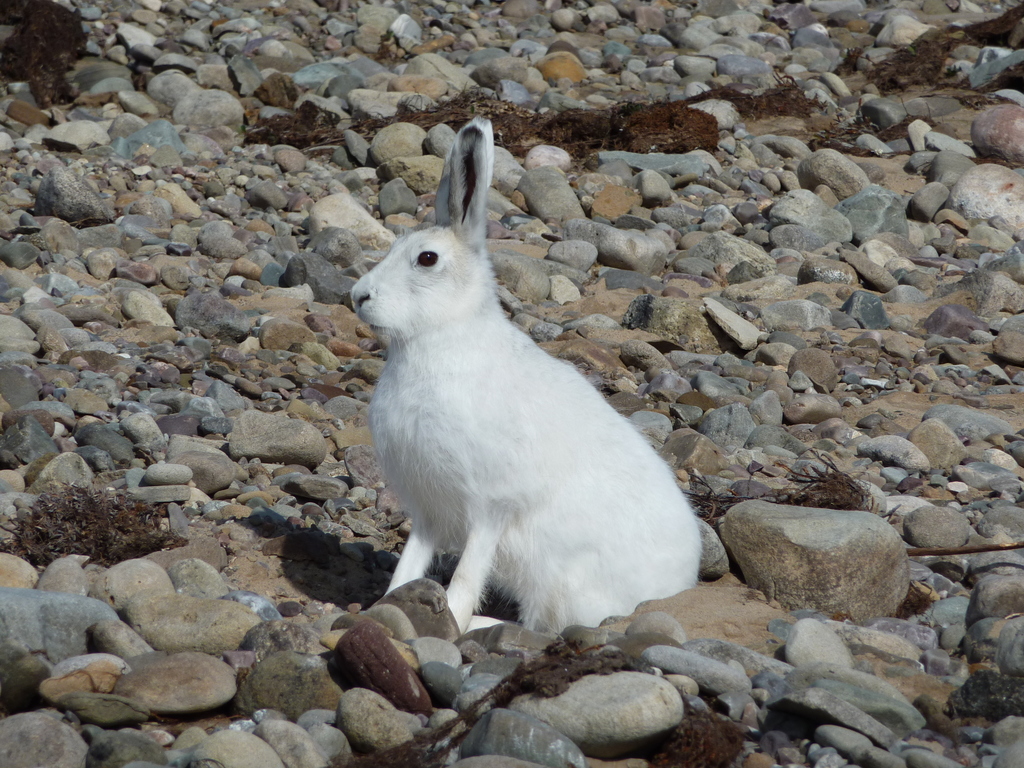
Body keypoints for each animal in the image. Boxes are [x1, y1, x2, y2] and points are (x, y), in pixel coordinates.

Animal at [350, 118, 701, 634]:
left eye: (427, 259)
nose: (358, 296)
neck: (440, 338)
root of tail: (674, 591)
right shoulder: (429, 510)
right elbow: (410, 563)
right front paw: (389, 606)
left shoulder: (490, 508)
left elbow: (467, 575)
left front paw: (450, 620)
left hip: (562, 581)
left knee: (545, 627)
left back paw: (481, 627)